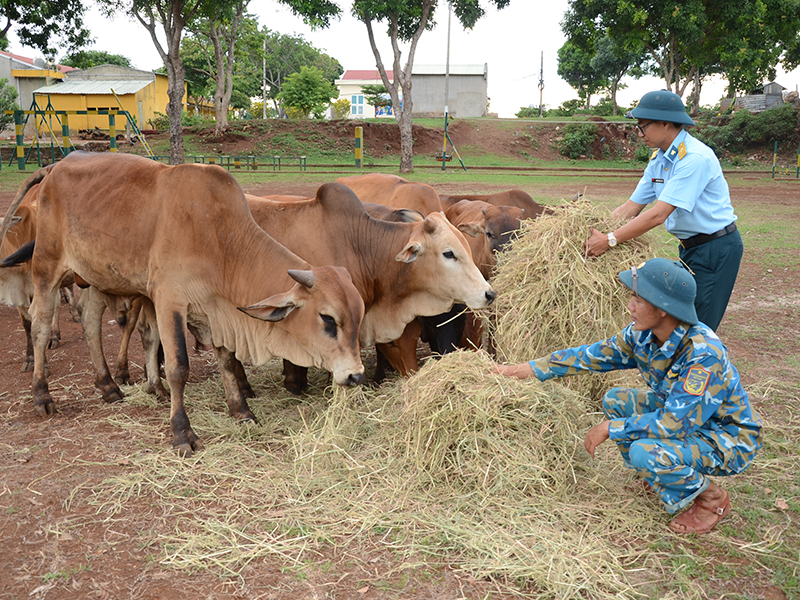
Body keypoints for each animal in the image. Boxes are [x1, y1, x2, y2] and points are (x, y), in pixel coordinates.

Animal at [0, 152, 366, 458]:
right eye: (328, 319)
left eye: (358, 316)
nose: (356, 375)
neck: (218, 236)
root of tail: (57, 166)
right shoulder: (168, 301)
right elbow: (178, 368)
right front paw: (182, 432)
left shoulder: (213, 309)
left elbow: (227, 361)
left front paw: (241, 411)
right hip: (47, 267)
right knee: (40, 326)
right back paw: (42, 395)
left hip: (95, 277)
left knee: (90, 321)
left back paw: (108, 385)